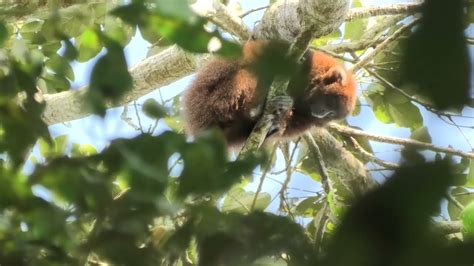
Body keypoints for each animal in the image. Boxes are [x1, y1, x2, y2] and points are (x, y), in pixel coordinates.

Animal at [181, 40, 356, 147]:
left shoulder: (309, 118)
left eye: (331, 114)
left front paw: (278, 122)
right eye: (330, 102)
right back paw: (254, 108)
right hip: (213, 99)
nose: (322, 113)